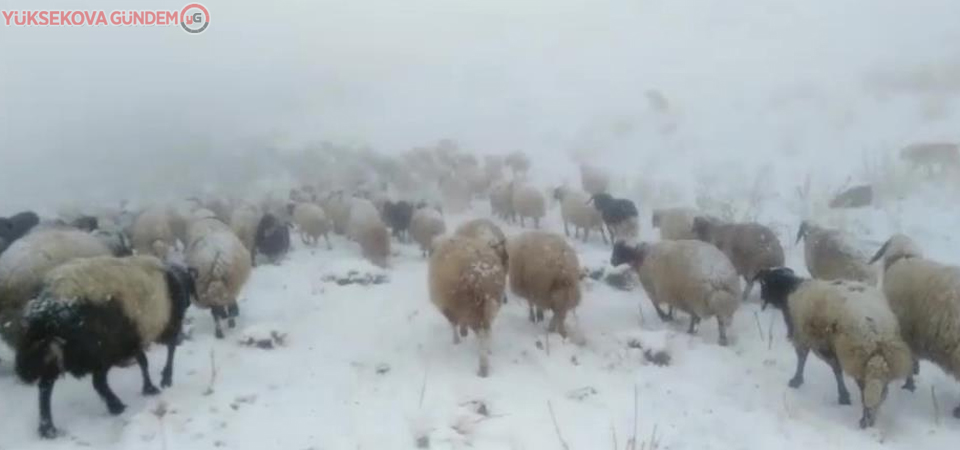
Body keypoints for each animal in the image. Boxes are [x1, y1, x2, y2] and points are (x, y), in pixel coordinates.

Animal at [426, 234, 502, 378]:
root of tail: (483, 276)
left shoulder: (450, 307)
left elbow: (453, 325)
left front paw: (456, 340)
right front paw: (463, 332)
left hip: (472, 306)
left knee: (482, 334)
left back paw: (483, 367)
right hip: (489, 304)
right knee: (488, 332)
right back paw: (489, 351)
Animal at [612, 243, 740, 344]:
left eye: (617, 252)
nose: (612, 262)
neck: (641, 257)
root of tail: (718, 276)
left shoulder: (653, 290)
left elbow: (656, 305)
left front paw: (664, 316)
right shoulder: (670, 292)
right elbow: (670, 306)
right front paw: (669, 316)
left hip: (695, 299)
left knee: (696, 318)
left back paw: (690, 331)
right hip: (717, 302)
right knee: (720, 322)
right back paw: (722, 340)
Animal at [752, 268, 912, 428]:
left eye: (764, 283)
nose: (761, 299)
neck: (791, 289)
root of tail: (878, 331)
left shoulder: (807, 338)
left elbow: (805, 359)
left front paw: (796, 381)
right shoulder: (826, 345)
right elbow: (835, 369)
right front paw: (843, 396)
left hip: (858, 358)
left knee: (867, 391)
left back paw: (865, 421)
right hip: (882, 361)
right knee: (881, 392)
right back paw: (871, 419)